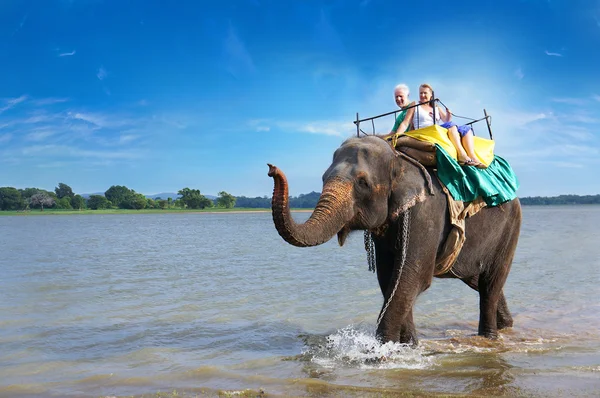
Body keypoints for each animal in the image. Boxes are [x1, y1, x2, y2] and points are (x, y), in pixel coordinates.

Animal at [268, 134, 520, 346]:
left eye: (363, 183)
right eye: (322, 178)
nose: (271, 169)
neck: (399, 158)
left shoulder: (427, 211)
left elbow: (412, 275)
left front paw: (380, 353)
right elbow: (390, 277)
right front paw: (408, 347)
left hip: (511, 228)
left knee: (491, 283)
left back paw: (489, 339)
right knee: (477, 280)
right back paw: (506, 326)